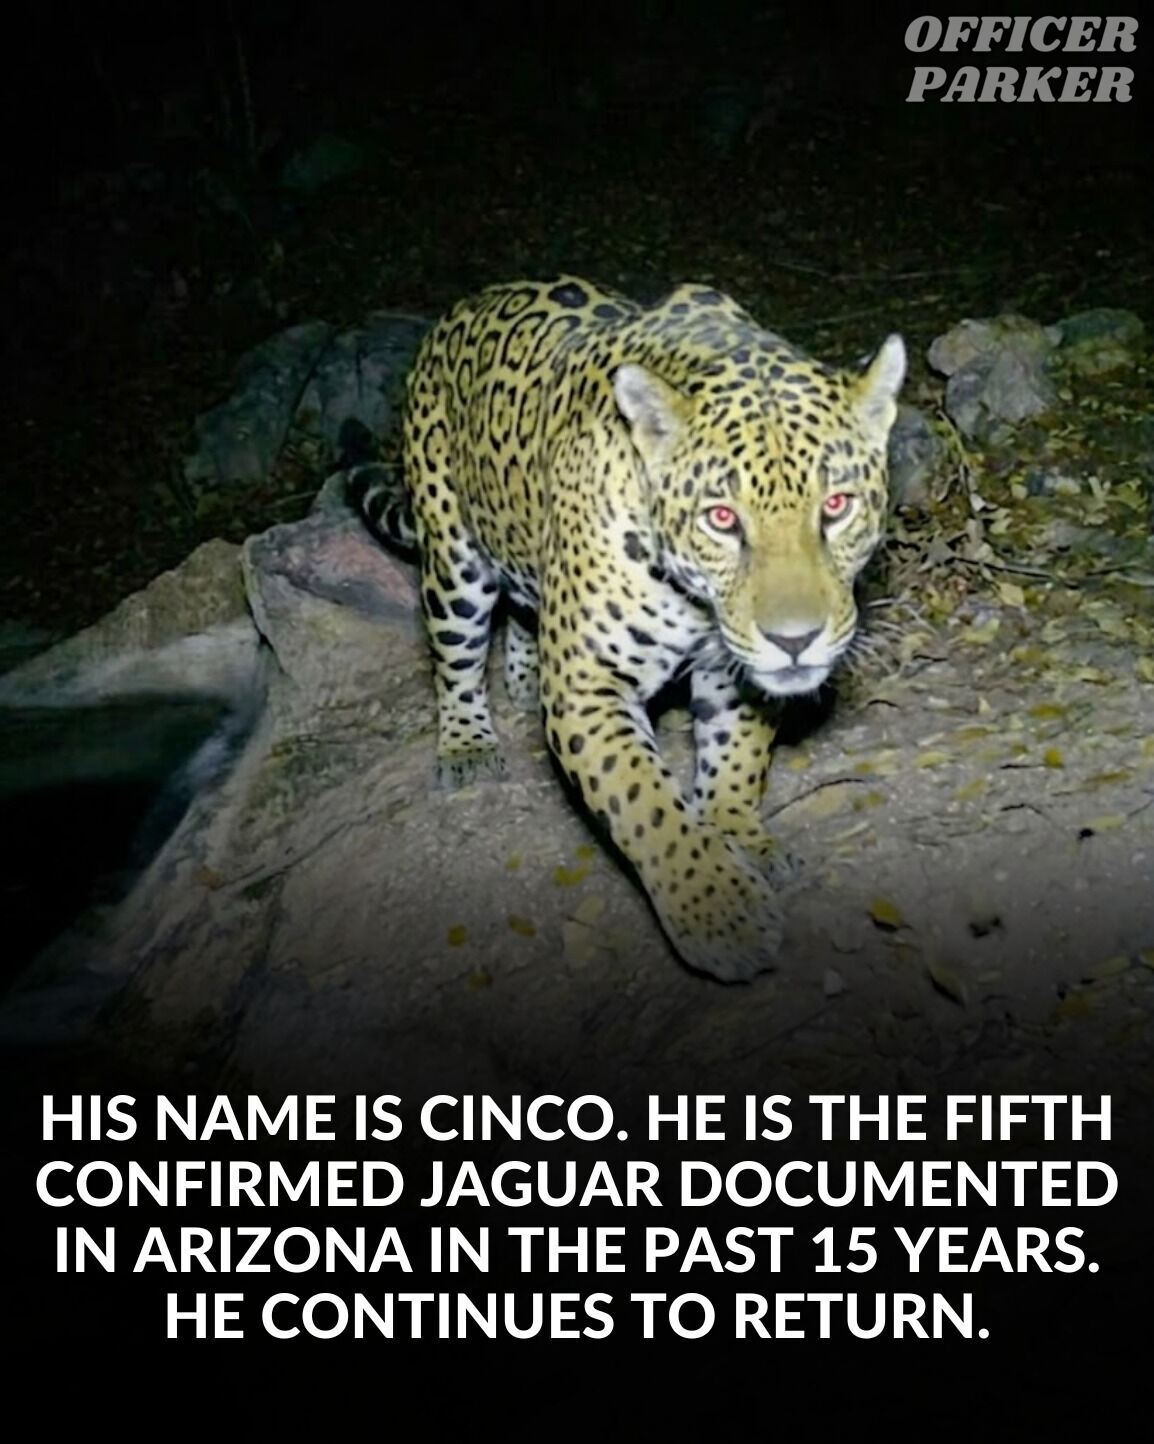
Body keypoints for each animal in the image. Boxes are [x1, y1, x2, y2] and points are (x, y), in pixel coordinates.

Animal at [350, 275, 905, 982]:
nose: (794, 641)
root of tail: (465, 305)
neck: (695, 599)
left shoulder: (735, 671)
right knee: (455, 653)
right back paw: (467, 743)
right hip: (451, 552)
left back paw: (523, 672)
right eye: (721, 518)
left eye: (836, 506)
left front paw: (736, 832)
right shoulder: (588, 689)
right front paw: (717, 908)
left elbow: (736, 759)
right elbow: (647, 803)